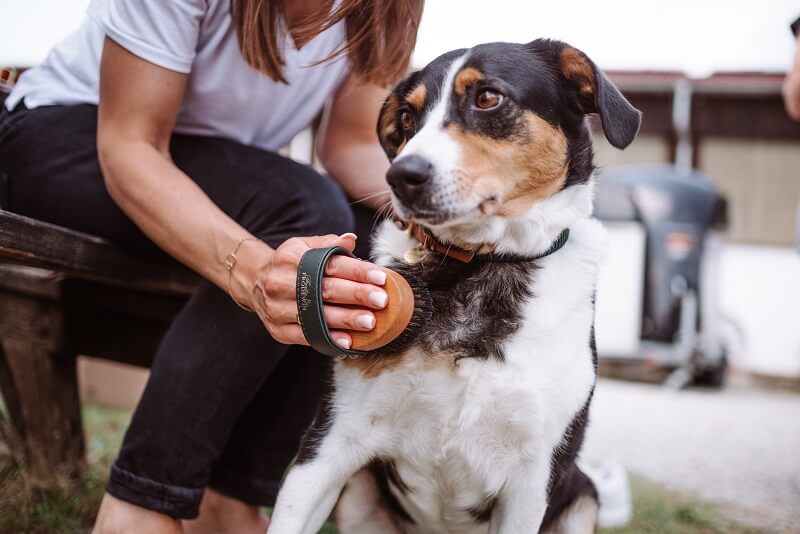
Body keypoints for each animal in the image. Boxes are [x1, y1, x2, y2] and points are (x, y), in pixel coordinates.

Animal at [272, 38, 640, 534]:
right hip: (358, 495)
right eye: (407, 118)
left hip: (584, 497)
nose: (400, 176)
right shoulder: (329, 442)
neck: (482, 264)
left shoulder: (532, 479)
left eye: (487, 98)